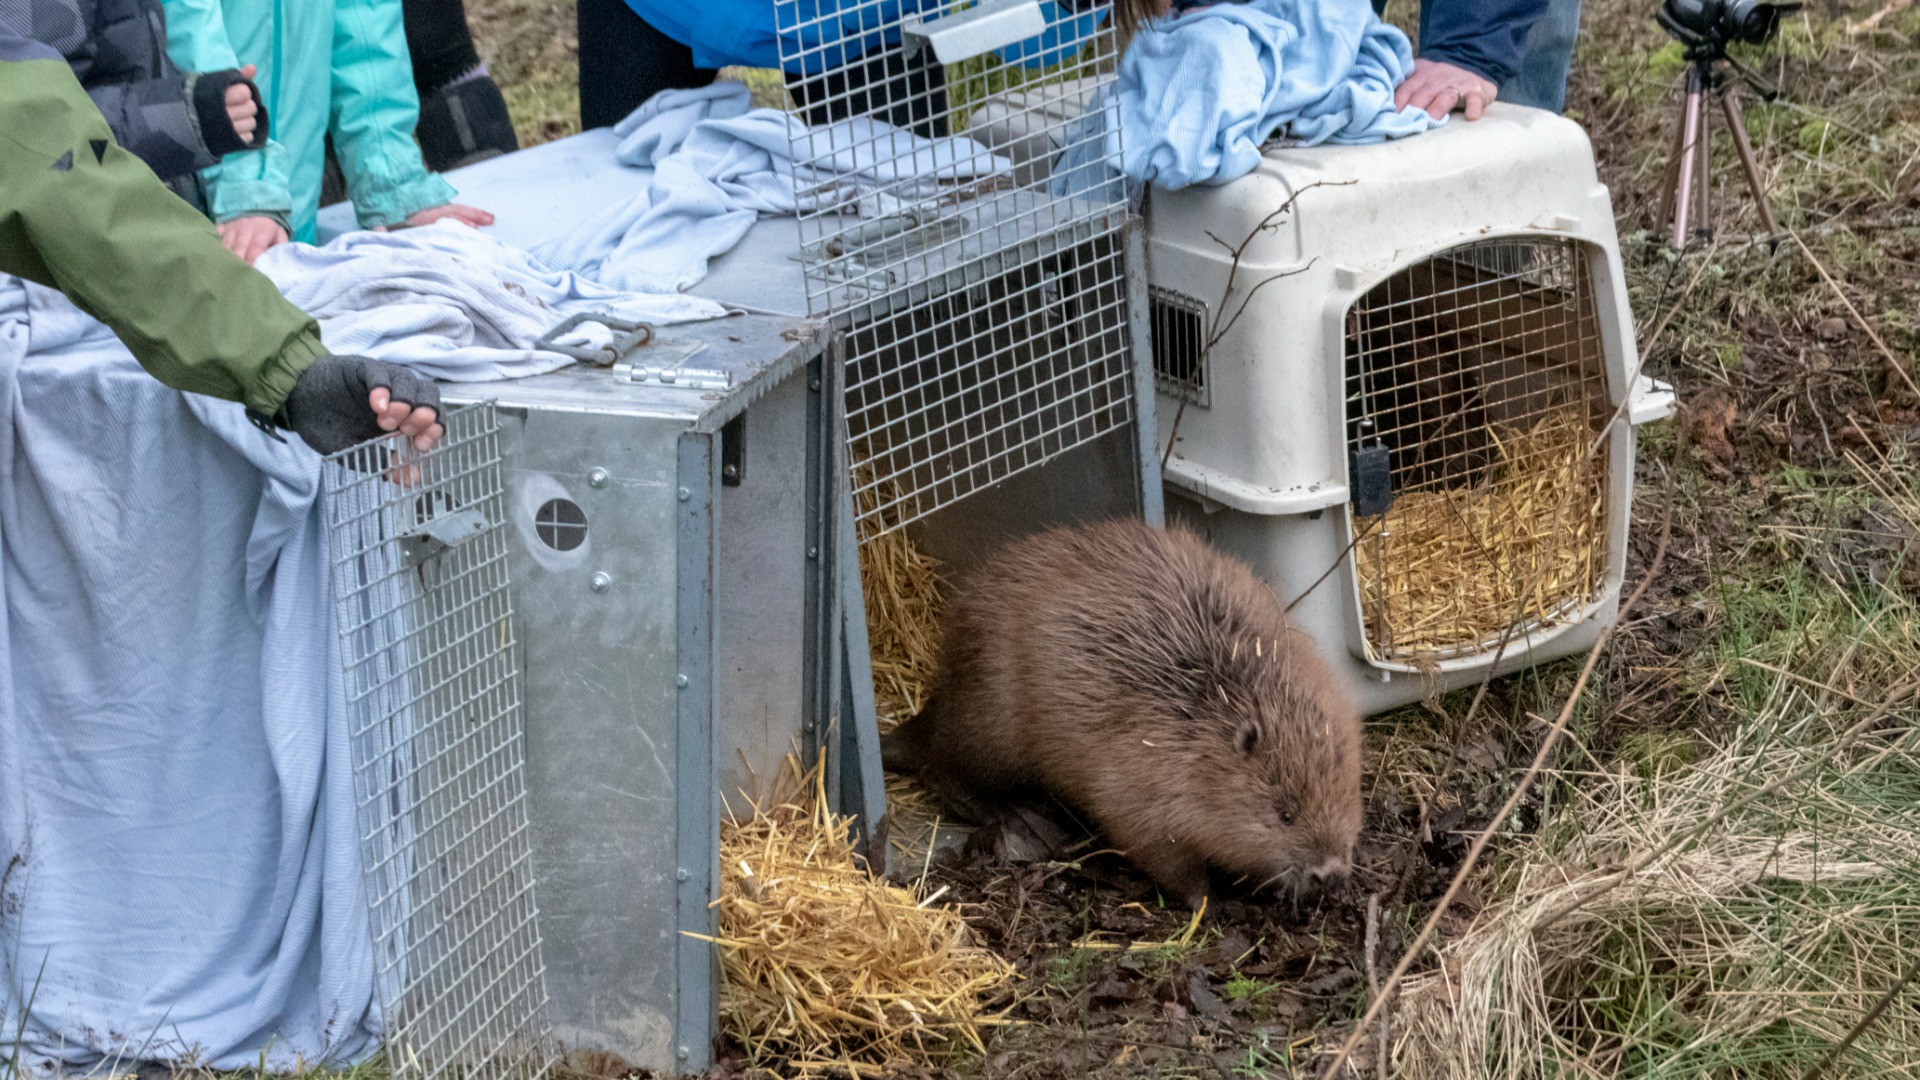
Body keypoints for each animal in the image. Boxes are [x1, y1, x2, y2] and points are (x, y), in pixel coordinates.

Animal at [883, 518, 1367, 903]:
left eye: (1347, 796)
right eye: (1285, 814)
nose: (1330, 875)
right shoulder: (1139, 782)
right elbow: (1151, 843)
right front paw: (1206, 900)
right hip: (991, 722)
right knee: (947, 768)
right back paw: (1024, 819)